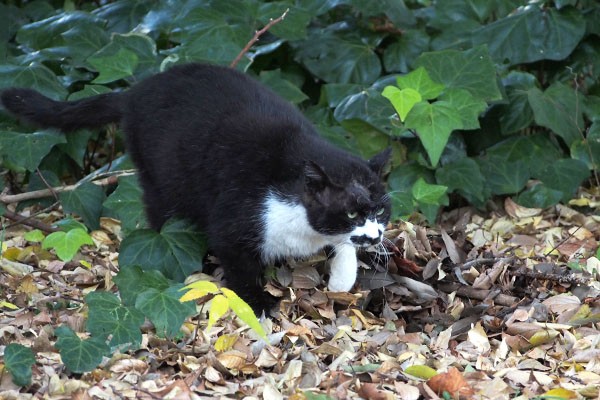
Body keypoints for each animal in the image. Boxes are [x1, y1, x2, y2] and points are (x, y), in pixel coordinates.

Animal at [1, 63, 394, 312]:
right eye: (352, 212)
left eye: (380, 210)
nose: (376, 236)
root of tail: (137, 90)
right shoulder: (233, 220)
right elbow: (240, 266)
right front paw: (258, 303)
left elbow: (343, 246)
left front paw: (341, 279)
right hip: (159, 178)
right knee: (161, 212)